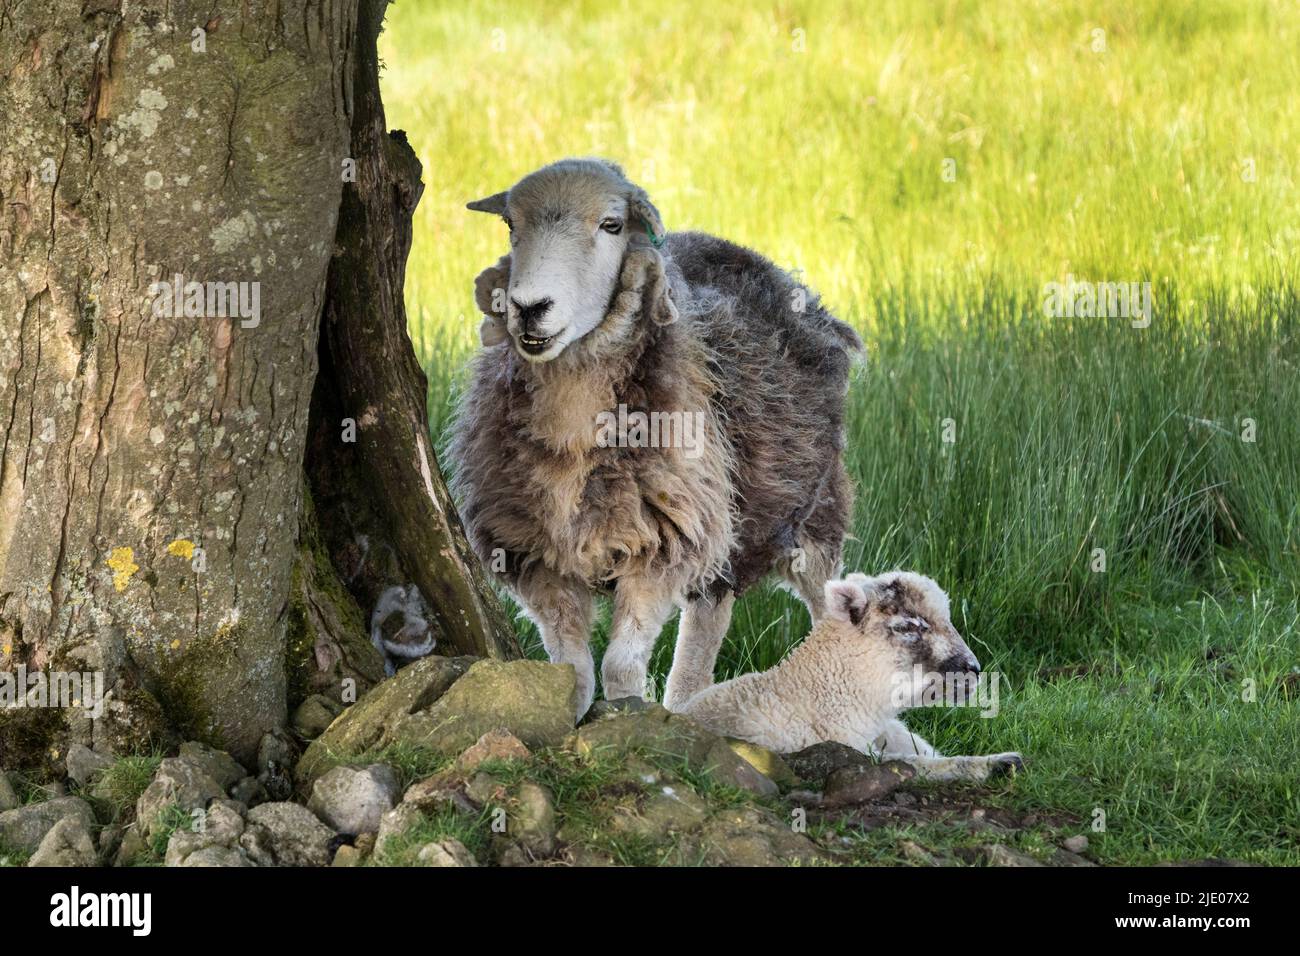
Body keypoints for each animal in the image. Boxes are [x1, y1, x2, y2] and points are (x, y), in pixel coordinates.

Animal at [452, 157, 857, 712]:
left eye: (611, 224)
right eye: (512, 226)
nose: (530, 308)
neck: (574, 425)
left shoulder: (662, 546)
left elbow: (620, 667)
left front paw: (626, 715)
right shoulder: (535, 556)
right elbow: (572, 671)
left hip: (810, 512)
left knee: (823, 602)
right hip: (726, 514)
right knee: (711, 612)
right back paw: (684, 706)